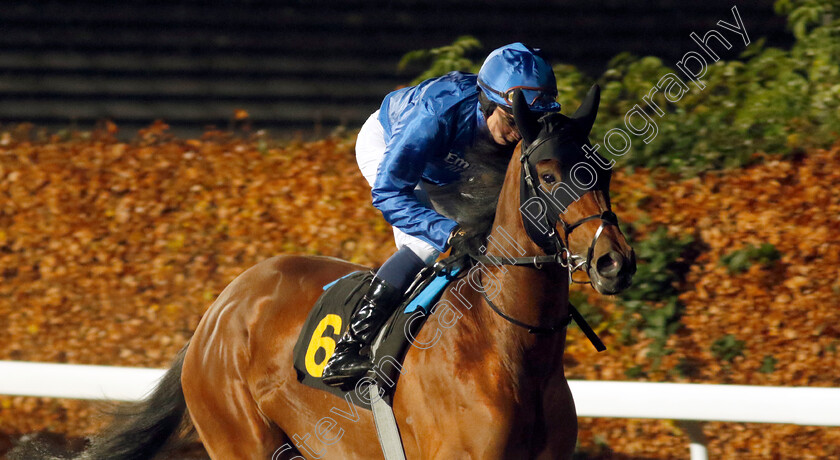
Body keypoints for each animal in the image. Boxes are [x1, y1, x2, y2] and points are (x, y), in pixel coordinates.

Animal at [55, 87, 632, 460]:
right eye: (550, 174)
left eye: (603, 169)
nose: (614, 261)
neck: (507, 347)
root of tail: (219, 310)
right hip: (241, 440)